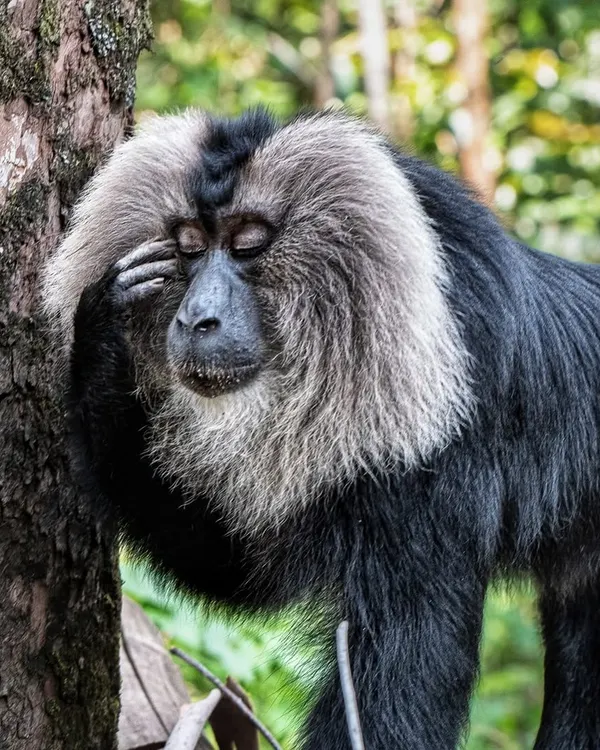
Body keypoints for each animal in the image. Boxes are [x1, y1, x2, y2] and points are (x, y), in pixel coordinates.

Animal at [41, 107, 600, 749]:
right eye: (188, 246)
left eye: (249, 242)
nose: (196, 318)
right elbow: (237, 572)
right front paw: (103, 326)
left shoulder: (444, 459)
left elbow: (401, 675)